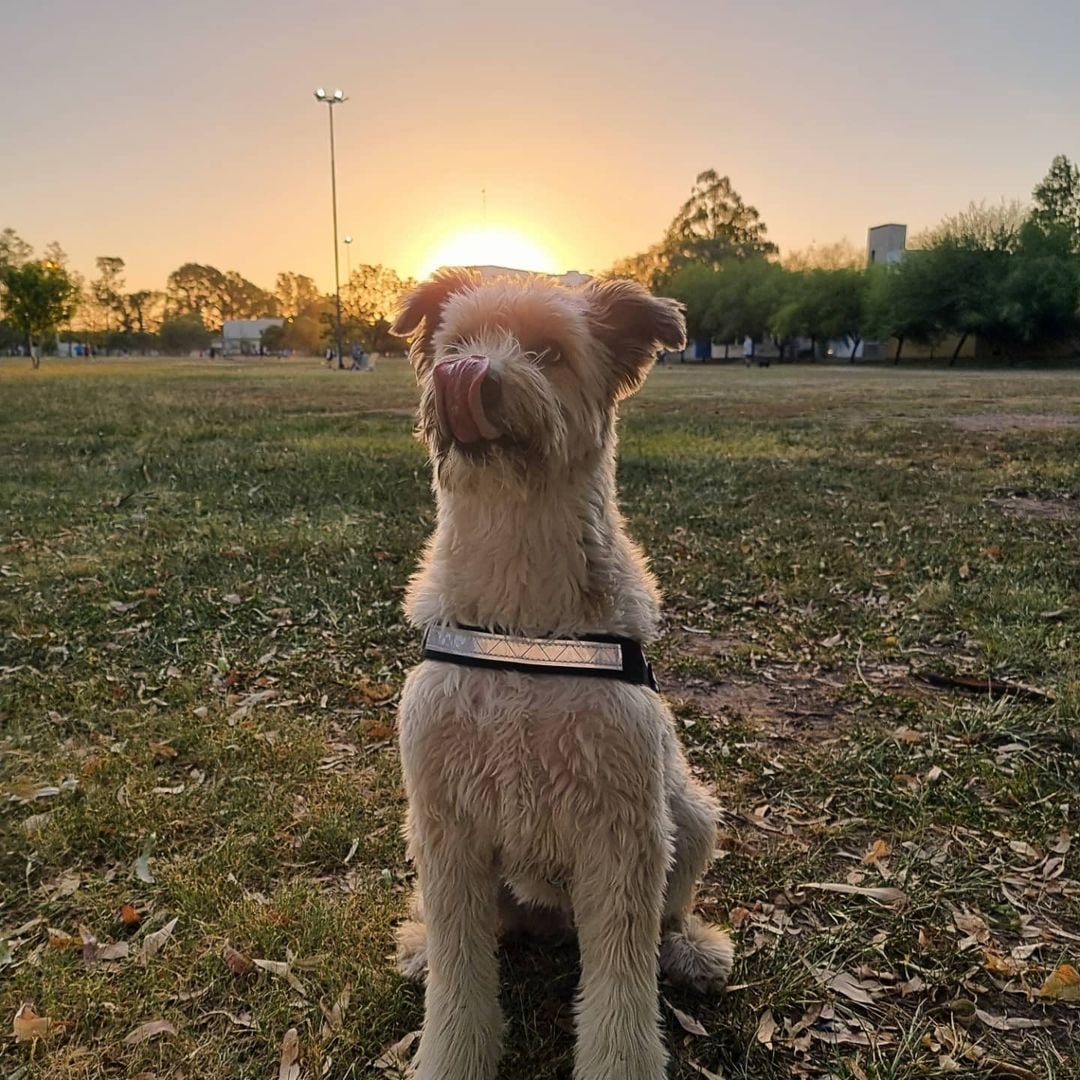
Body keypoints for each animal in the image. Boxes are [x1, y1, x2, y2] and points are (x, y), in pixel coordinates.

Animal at [388, 270, 734, 1080]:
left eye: (547, 351)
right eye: (454, 344)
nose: (463, 374)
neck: (522, 619)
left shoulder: (622, 832)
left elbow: (621, 982)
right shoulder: (445, 823)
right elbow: (460, 971)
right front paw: (451, 1054)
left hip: (690, 812)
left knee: (670, 915)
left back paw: (691, 949)